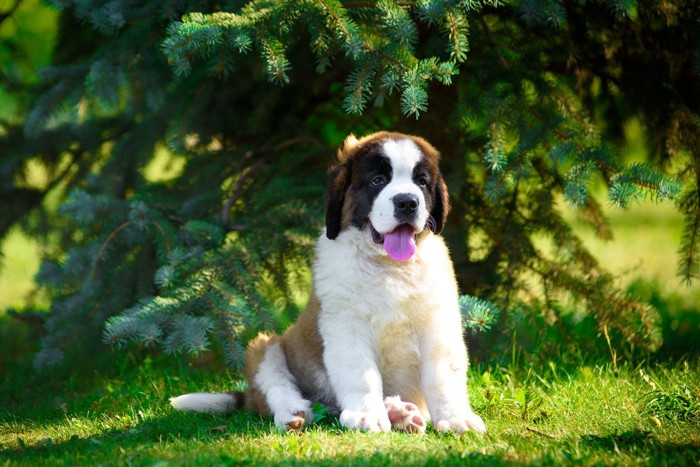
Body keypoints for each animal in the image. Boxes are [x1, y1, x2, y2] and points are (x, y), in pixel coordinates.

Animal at [171, 131, 486, 436]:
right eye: (377, 181)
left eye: (421, 182)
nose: (407, 202)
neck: (388, 267)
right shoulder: (345, 323)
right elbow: (361, 374)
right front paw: (366, 415)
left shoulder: (437, 322)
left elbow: (442, 376)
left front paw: (455, 417)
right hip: (265, 345)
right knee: (274, 383)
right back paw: (295, 413)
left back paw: (400, 412)